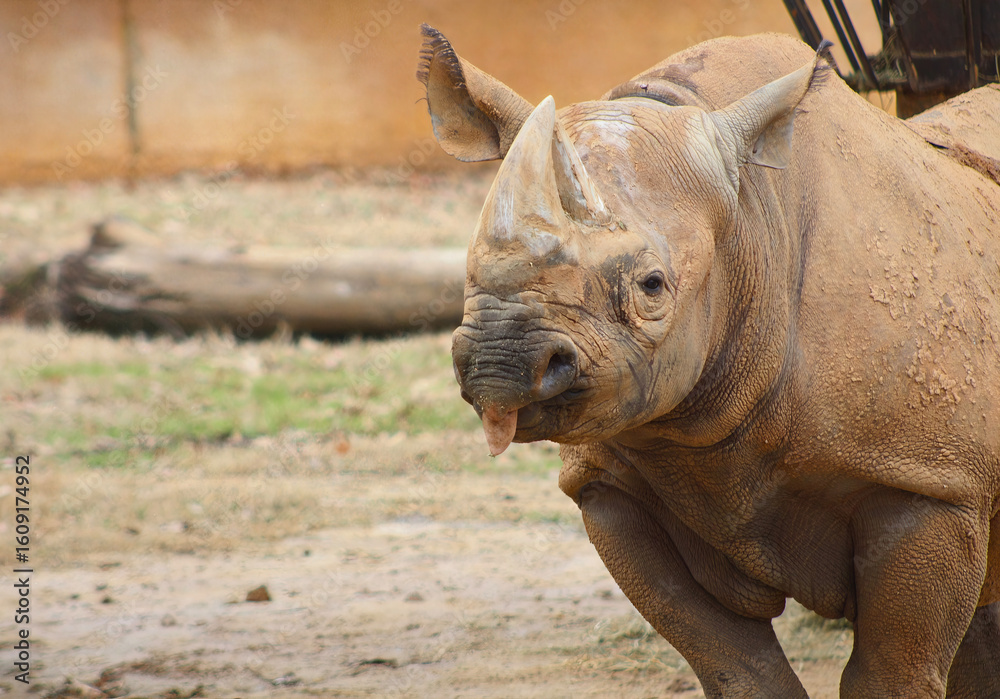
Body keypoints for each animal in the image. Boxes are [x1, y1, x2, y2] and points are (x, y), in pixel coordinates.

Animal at [417, 24, 1000, 697]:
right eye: (467, 267)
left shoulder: (930, 481)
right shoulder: (612, 484)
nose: (501, 361)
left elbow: (892, 671)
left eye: (652, 286)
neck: (752, 224)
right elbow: (731, 662)